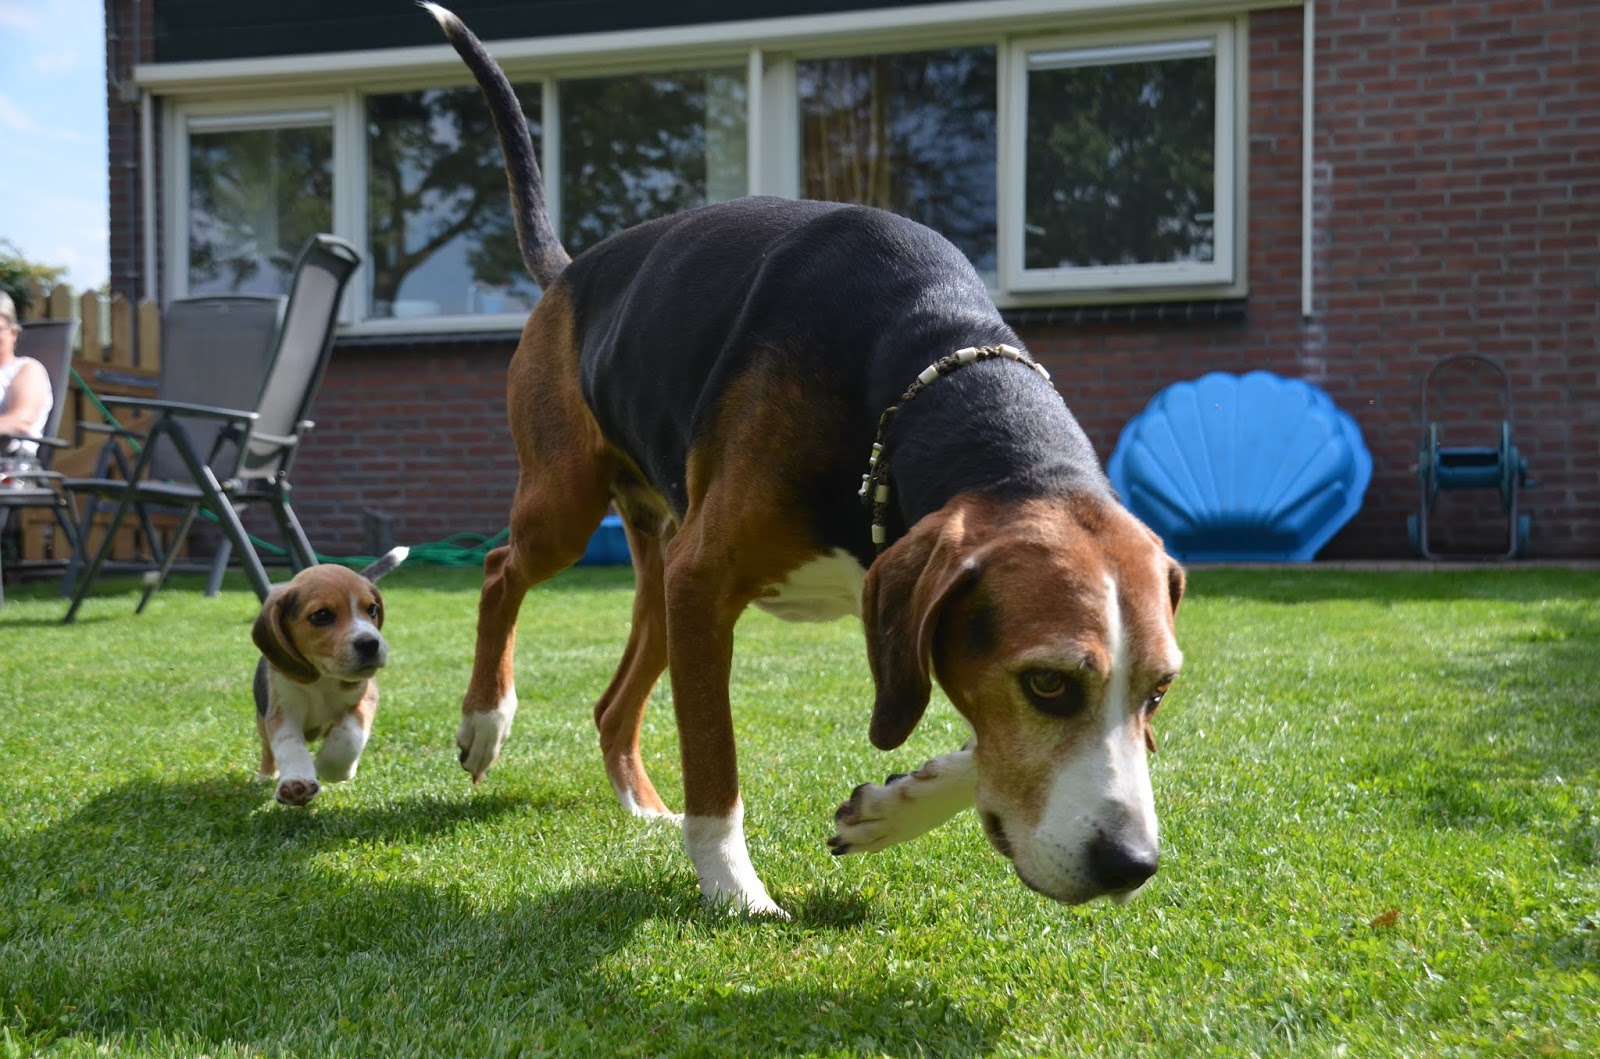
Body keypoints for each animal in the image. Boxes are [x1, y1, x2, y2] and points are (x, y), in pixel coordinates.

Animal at [252, 547, 408, 806]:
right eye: (321, 615)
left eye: (372, 610)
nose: (370, 644)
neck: (323, 679)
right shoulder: (283, 708)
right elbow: (289, 745)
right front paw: (296, 783)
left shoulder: (365, 697)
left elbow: (349, 735)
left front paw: (332, 768)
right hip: (261, 718)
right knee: (267, 748)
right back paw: (267, 774)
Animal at [429, 5, 1184, 916]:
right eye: (1047, 684)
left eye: (1158, 690)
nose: (1132, 864)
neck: (923, 366)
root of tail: (571, 272)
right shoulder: (706, 580)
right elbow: (716, 766)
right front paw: (736, 891)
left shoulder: (848, 596)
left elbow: (960, 732)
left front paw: (892, 808)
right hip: (568, 510)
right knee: (501, 569)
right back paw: (486, 720)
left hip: (660, 579)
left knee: (612, 703)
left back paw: (640, 804)